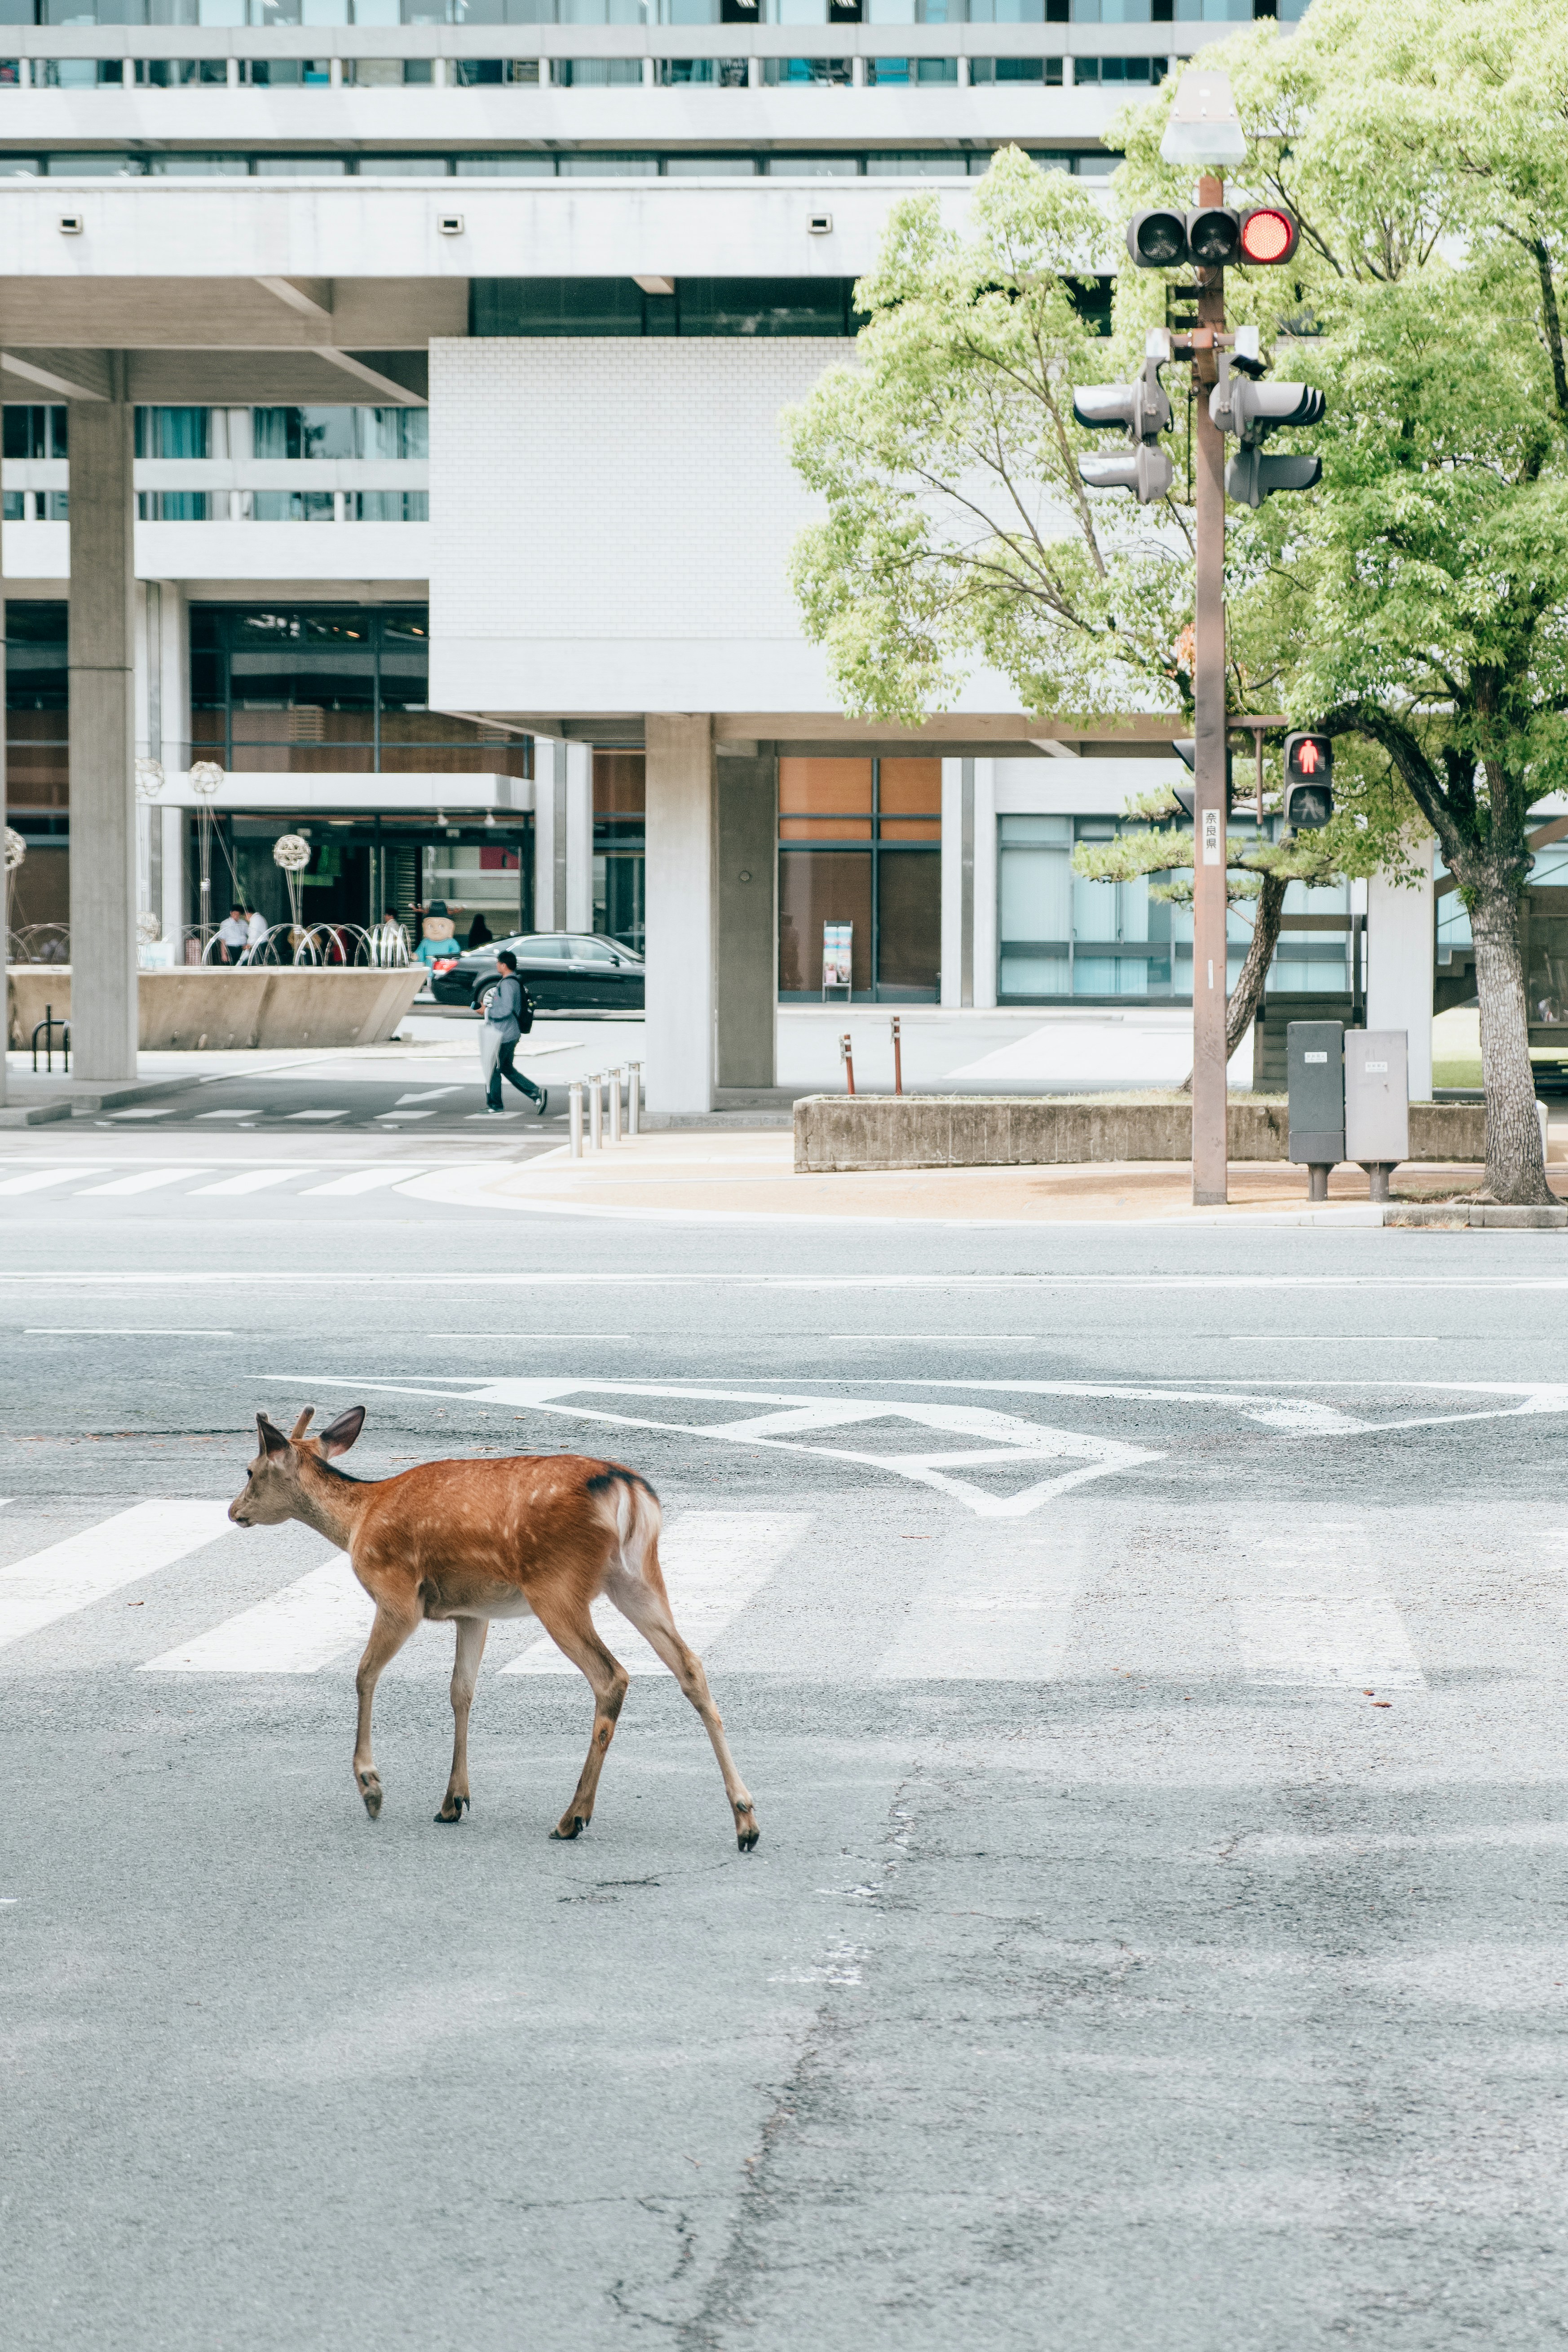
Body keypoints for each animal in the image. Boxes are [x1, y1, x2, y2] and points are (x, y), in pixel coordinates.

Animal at [228, 1404, 759, 1851]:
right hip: (638, 1577)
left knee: (611, 1675)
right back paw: (745, 1820)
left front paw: (371, 1788)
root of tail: (627, 1488)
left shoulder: (397, 1593)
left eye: (251, 1471)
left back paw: (572, 1817)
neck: (359, 1518)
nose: (234, 1512)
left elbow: (364, 1674)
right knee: (690, 1666)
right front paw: (453, 1801)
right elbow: (461, 1690)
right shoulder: (473, 1612)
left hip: (557, 1585)